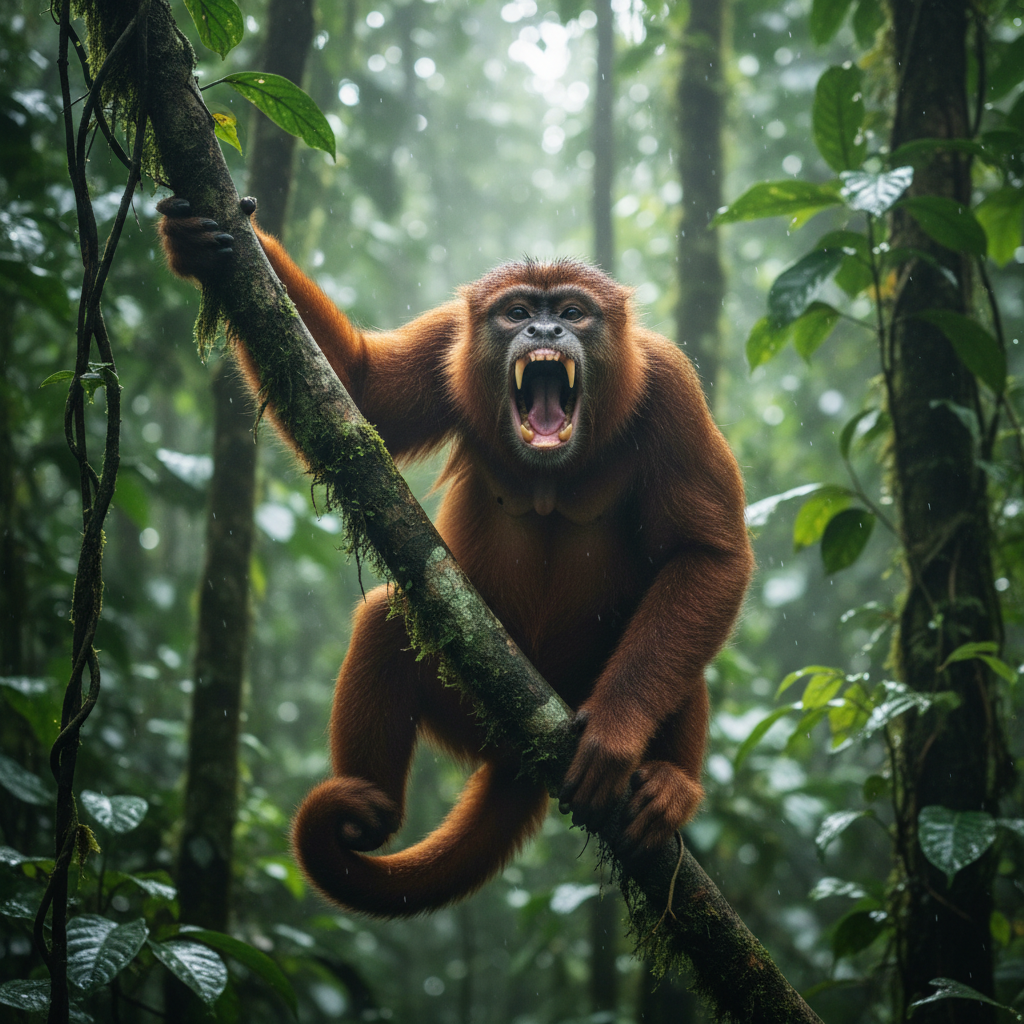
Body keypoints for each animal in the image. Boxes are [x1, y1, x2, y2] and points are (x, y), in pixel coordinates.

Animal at [158, 195, 753, 918]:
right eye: (518, 313)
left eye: (573, 311)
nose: (546, 330)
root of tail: (524, 759)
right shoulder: (453, 338)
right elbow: (360, 393)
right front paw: (205, 244)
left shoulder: (670, 384)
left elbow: (709, 555)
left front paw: (616, 732)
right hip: (470, 717)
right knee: (387, 616)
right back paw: (372, 808)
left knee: (680, 648)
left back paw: (670, 783)